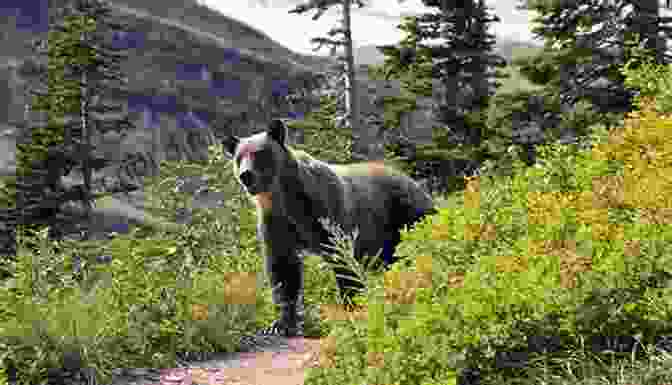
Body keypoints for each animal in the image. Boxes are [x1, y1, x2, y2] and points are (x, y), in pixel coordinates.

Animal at [223, 118, 438, 334]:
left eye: (260, 153)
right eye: (239, 157)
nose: (246, 175)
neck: (285, 199)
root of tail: (415, 183)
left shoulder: (325, 212)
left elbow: (342, 260)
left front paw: (352, 307)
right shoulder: (276, 221)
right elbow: (283, 269)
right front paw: (282, 322)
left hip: (405, 214)